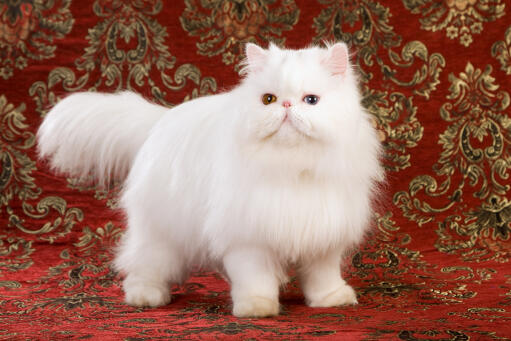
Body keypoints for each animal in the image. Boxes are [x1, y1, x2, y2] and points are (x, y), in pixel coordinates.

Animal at [38, 41, 384, 316]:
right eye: (269, 100)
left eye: (311, 100)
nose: (286, 106)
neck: (291, 166)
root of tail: (161, 120)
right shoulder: (248, 238)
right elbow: (256, 278)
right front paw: (256, 308)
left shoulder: (324, 234)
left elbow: (322, 276)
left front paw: (331, 300)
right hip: (159, 232)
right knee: (142, 263)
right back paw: (146, 296)